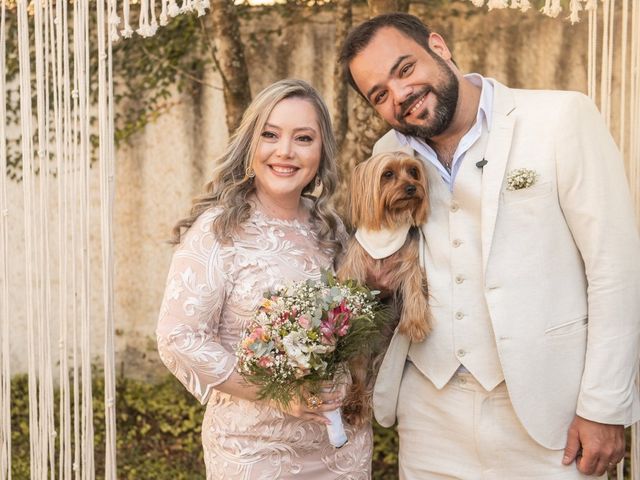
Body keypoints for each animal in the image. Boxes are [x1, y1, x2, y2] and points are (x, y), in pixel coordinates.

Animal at [338, 152, 432, 426]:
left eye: (413, 172)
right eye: (388, 174)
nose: (411, 188)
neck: (389, 226)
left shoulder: (410, 264)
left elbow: (414, 289)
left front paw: (416, 324)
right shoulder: (355, 264)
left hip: (382, 360)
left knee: (373, 383)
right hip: (359, 353)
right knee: (359, 377)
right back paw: (354, 406)